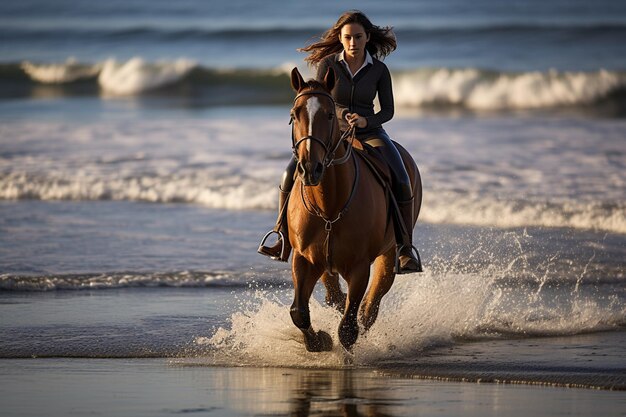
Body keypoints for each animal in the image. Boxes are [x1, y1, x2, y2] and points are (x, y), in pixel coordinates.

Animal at [286, 66, 420, 352]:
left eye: (328, 114)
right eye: (294, 115)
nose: (309, 169)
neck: (329, 208)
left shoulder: (360, 267)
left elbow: (348, 327)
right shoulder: (304, 259)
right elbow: (299, 312)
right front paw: (319, 341)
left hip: (388, 255)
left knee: (369, 308)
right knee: (335, 296)